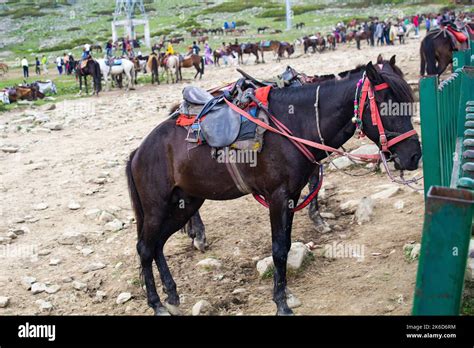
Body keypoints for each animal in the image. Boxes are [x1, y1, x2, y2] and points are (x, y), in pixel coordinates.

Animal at [126, 61, 422, 316]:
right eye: (386, 105)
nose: (413, 156)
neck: (295, 124)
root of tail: (139, 151)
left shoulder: (291, 197)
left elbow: (287, 246)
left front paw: (285, 293)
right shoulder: (277, 197)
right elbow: (279, 249)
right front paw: (282, 304)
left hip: (185, 203)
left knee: (158, 244)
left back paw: (172, 295)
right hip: (157, 207)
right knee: (144, 248)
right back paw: (157, 304)